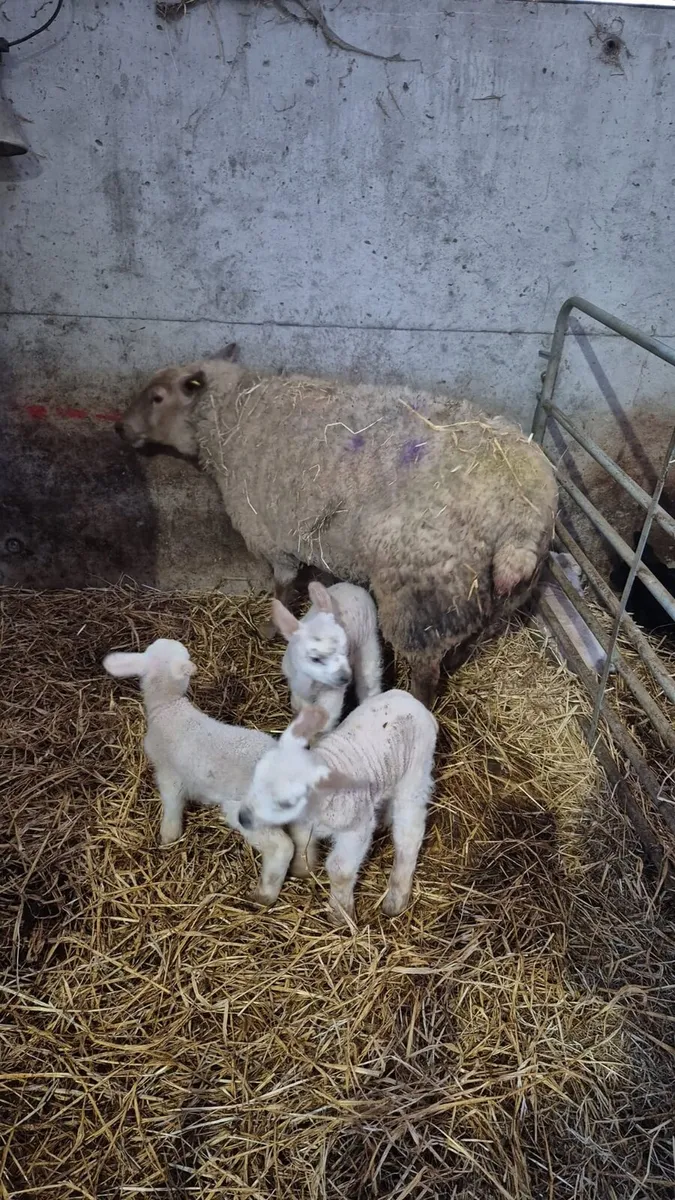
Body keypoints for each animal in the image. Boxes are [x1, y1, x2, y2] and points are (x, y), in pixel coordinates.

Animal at [102, 637, 295, 905]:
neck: (168, 705)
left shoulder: (168, 772)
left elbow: (172, 803)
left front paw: (168, 837)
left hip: (249, 812)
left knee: (282, 847)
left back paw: (264, 895)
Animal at [115, 355, 558, 705]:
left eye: (157, 397)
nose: (120, 429)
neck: (232, 415)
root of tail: (521, 517)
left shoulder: (271, 535)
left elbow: (283, 585)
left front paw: (268, 629)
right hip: (489, 598)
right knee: (467, 640)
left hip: (422, 589)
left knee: (425, 669)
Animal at [238, 689, 438, 925]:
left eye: (284, 801)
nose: (242, 818)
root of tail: (413, 701)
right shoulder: (303, 822)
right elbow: (301, 841)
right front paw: (302, 869)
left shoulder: (357, 829)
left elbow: (340, 869)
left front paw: (339, 913)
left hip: (416, 774)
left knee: (409, 833)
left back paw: (395, 899)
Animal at [271, 580, 382, 732]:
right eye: (315, 658)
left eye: (346, 651)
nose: (345, 678)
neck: (309, 682)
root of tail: (353, 586)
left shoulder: (332, 692)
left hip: (369, 641)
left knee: (370, 681)